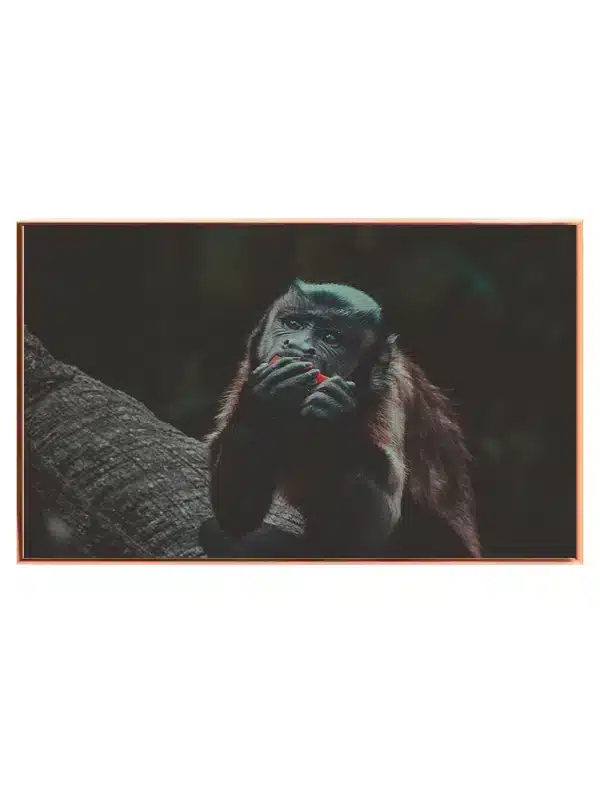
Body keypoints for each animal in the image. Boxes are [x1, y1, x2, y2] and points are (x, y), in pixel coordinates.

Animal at [206, 279, 479, 559]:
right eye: (293, 324)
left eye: (330, 337)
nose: (298, 346)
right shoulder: (249, 372)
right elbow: (237, 519)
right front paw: (265, 403)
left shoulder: (387, 393)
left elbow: (373, 530)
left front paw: (336, 418)